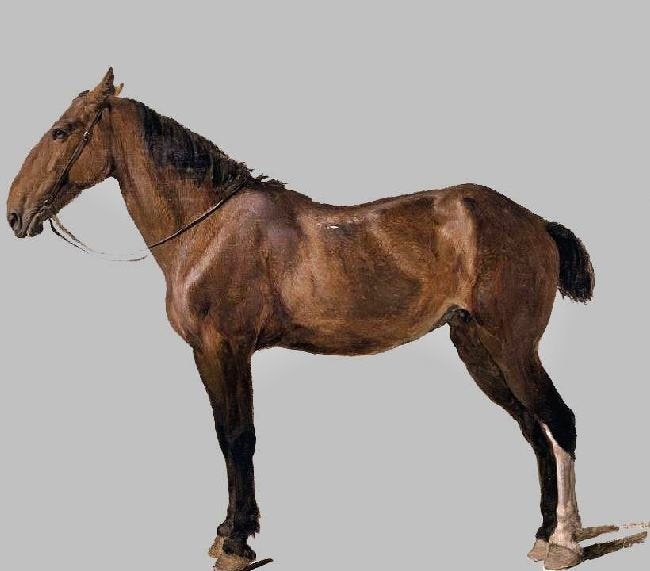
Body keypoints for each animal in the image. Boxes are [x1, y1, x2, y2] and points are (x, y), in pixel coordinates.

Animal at [5, 68, 625, 571]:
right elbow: (226, 436)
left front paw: (237, 543)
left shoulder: (225, 348)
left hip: (513, 346)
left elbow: (239, 438)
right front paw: (229, 531)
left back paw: (566, 543)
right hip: (477, 348)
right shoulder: (211, 356)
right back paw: (543, 533)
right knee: (533, 430)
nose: (15, 212)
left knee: (560, 422)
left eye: (62, 130)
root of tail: (535, 222)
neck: (208, 227)